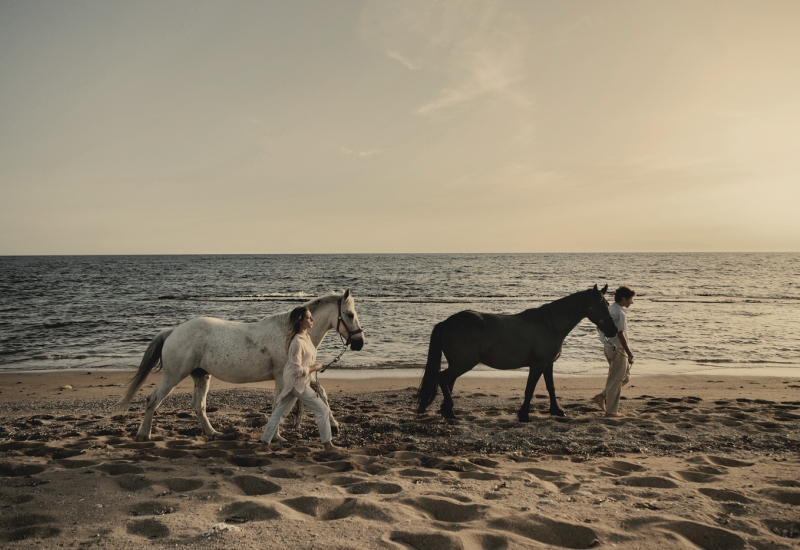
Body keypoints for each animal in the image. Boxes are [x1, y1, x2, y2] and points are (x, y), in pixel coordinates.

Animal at [117, 292, 364, 442]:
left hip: (201, 376)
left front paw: (334, 425)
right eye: (350, 314)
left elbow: (321, 393)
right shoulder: (283, 378)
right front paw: (277, 437)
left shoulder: (300, 376)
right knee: (153, 399)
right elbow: (278, 405)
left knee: (199, 406)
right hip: (173, 376)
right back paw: (144, 434)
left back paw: (212, 433)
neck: (291, 334)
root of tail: (173, 331)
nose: (359, 343)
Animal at [418, 284, 620, 422]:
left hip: (456, 363)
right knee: (442, 378)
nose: (613, 330)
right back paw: (450, 411)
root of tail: (447, 322)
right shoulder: (537, 365)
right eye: (599, 306)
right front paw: (523, 415)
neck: (549, 325)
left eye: (607, 304)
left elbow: (551, 387)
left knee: (447, 382)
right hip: (463, 364)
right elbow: (530, 389)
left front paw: (556, 411)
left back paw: (447, 411)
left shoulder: (548, 364)